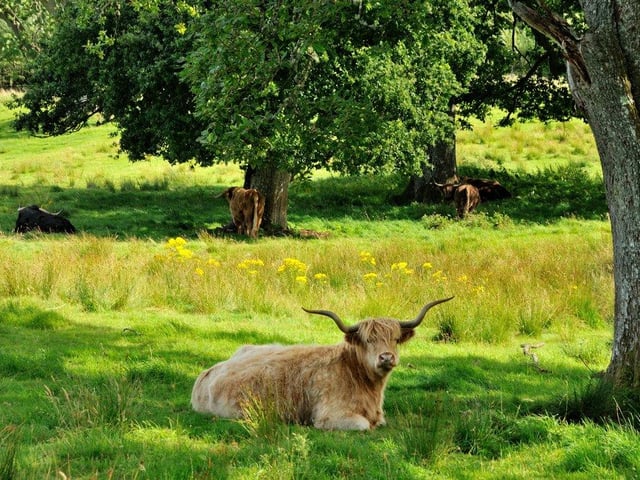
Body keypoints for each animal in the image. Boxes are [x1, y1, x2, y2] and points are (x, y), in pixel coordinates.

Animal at [191, 297, 453, 430]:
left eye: (395, 339)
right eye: (368, 340)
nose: (386, 357)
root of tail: (208, 372)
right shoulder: (331, 416)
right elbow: (364, 426)